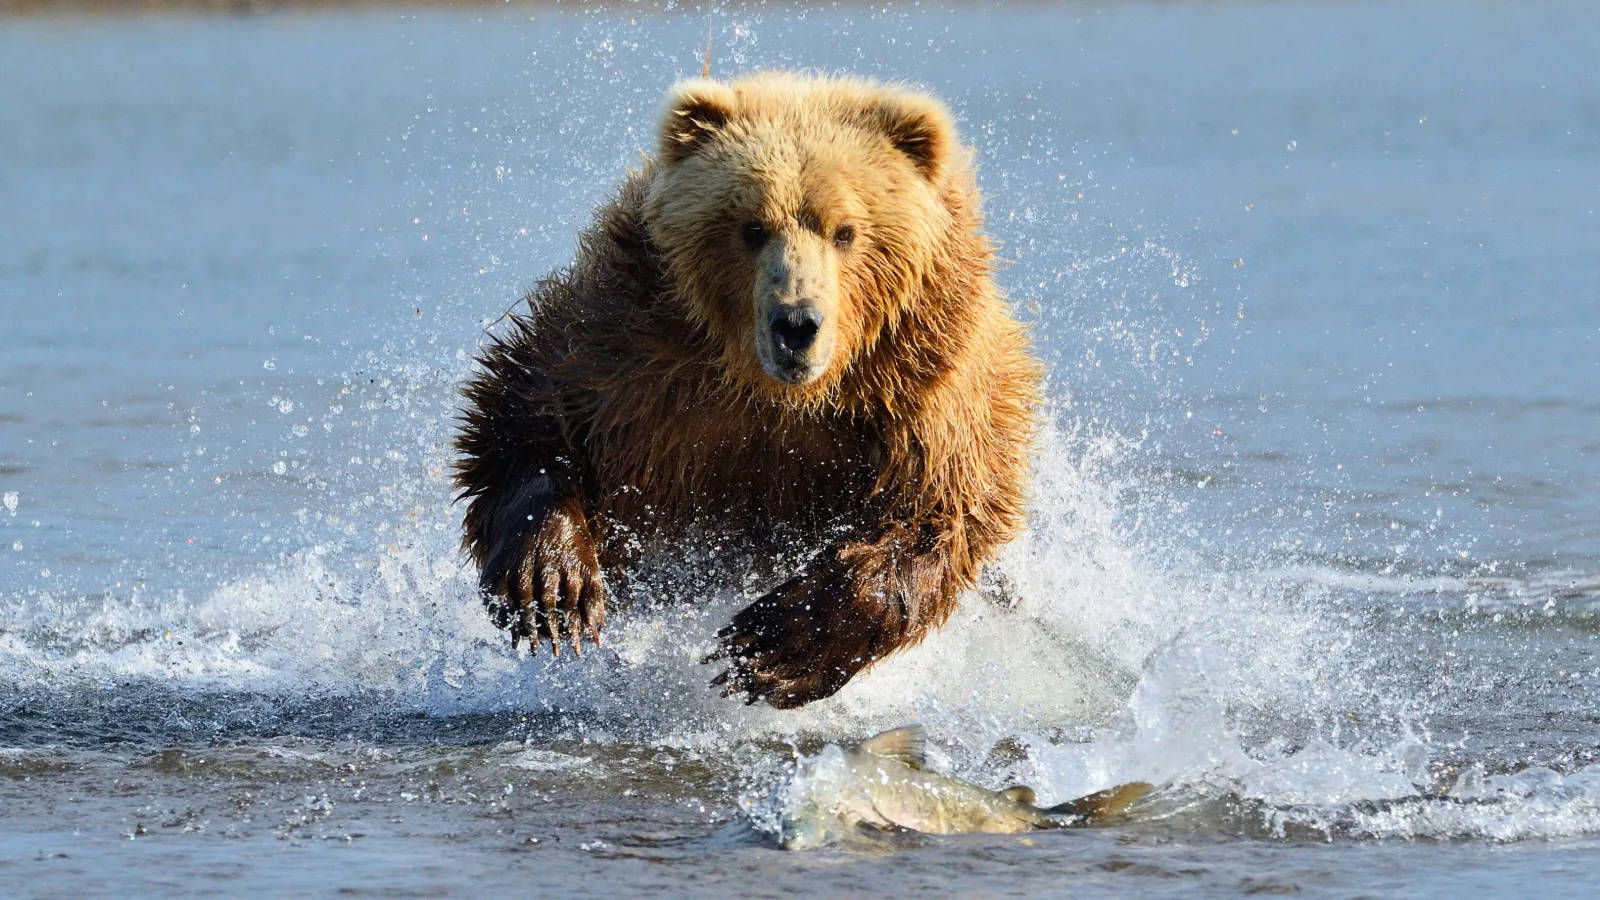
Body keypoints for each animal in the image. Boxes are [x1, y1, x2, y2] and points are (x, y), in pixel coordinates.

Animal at [455, 72, 1041, 708]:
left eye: (846, 230)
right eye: (752, 227)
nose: (797, 324)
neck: (776, 392)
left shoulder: (923, 385)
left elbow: (937, 511)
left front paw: (770, 646)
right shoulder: (633, 348)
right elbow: (528, 409)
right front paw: (554, 584)